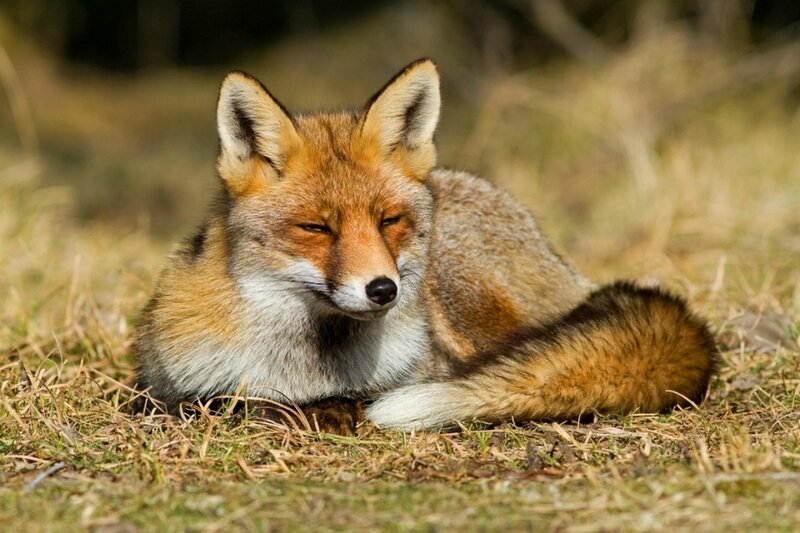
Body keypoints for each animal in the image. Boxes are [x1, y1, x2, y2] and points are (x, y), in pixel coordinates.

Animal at [134, 58, 718, 433]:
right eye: (316, 229)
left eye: (388, 220)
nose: (382, 289)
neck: (309, 368)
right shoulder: (172, 388)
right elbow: (227, 403)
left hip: (470, 302)